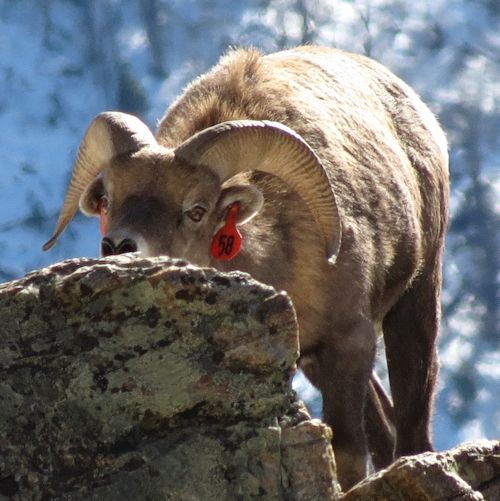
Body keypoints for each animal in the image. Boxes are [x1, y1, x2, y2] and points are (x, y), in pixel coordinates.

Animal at [43, 46, 450, 488]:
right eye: (108, 200)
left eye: (197, 210)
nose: (119, 246)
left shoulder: (350, 342)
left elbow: (348, 451)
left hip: (416, 297)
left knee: (411, 417)